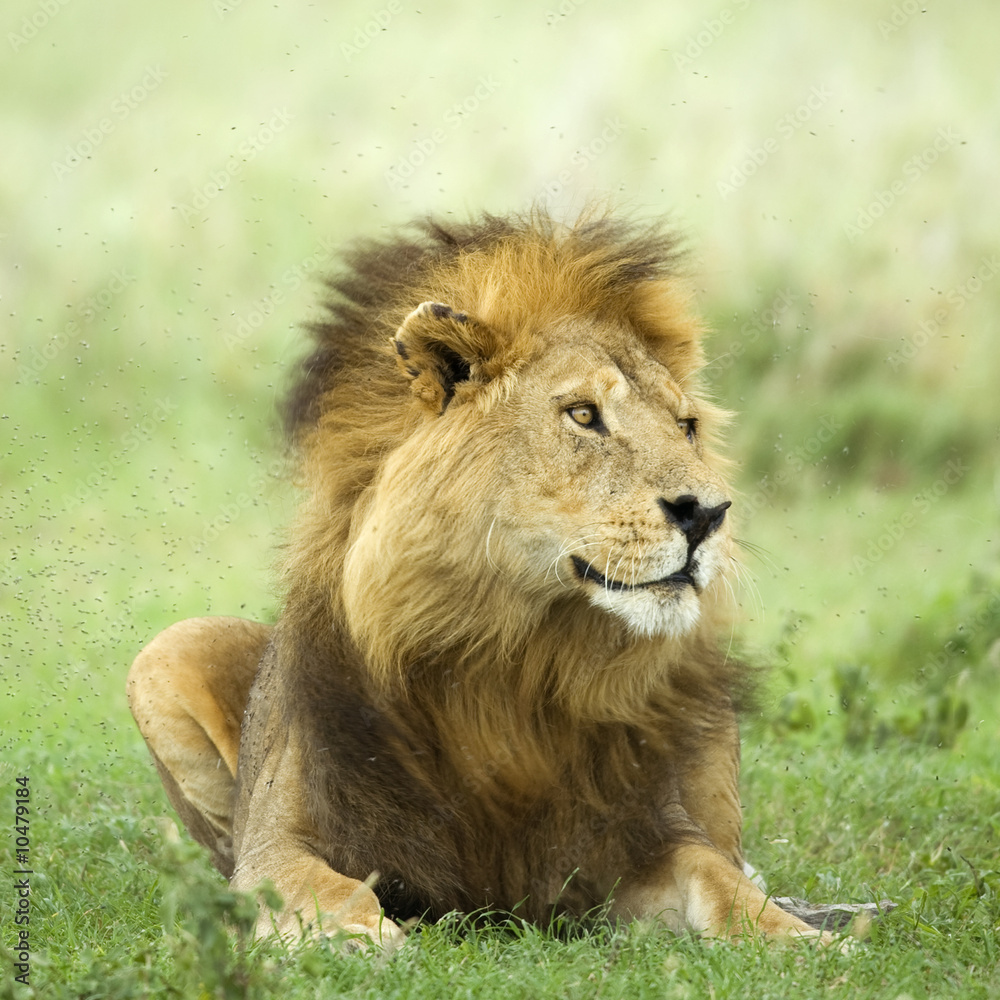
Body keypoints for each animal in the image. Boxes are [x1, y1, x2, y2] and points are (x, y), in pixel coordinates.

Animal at [127, 209, 833, 949]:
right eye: (584, 414)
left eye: (686, 425)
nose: (710, 514)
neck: (513, 658)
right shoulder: (277, 842)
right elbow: (322, 887)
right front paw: (361, 938)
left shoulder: (632, 843)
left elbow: (718, 879)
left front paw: (808, 940)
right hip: (167, 651)